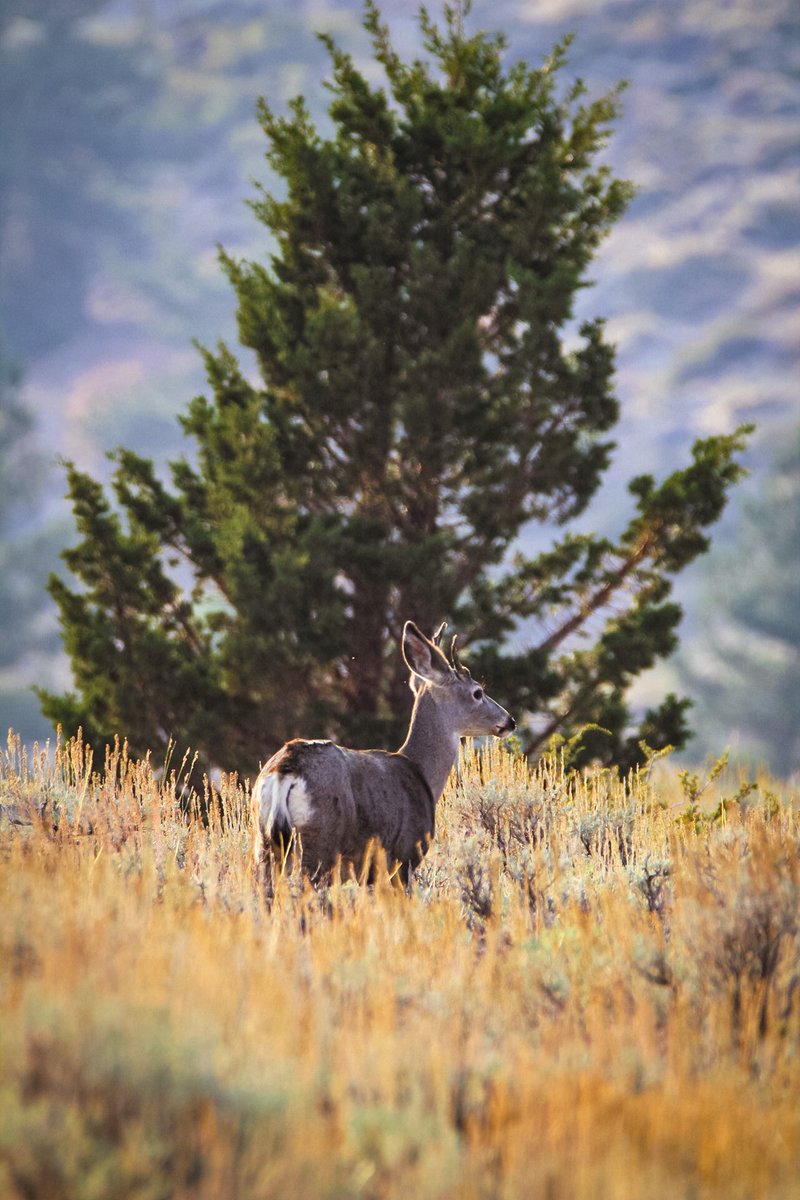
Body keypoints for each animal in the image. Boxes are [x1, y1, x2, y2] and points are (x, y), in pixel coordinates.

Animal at [253, 624, 520, 888]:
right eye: (477, 692)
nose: (509, 721)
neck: (420, 771)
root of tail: (285, 769)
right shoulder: (405, 855)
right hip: (320, 837)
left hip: (266, 842)